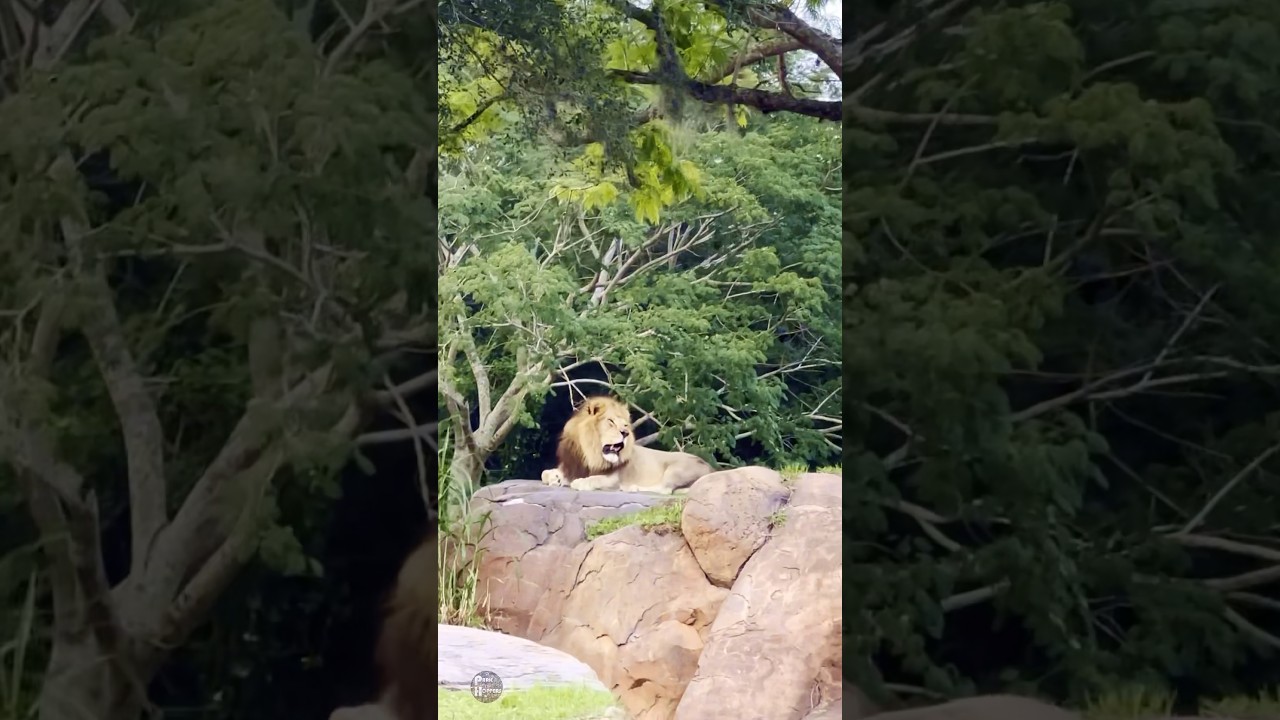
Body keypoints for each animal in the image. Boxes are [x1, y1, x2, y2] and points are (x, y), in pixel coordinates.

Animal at [540, 395, 714, 494]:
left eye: (625, 425)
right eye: (611, 421)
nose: (625, 433)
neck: (590, 453)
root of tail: (711, 469)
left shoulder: (614, 478)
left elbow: (596, 479)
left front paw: (580, 482)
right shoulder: (572, 467)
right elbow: (544, 473)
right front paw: (555, 478)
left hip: (676, 470)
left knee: (665, 490)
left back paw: (633, 488)